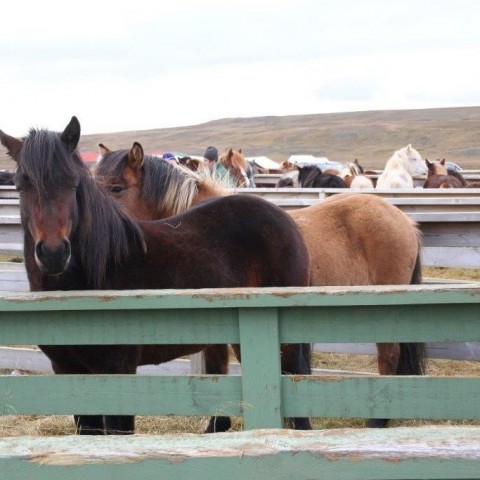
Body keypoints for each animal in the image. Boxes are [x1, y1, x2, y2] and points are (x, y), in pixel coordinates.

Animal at [0, 119, 314, 436]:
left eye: (74, 183)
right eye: (20, 185)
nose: (53, 253)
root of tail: (285, 218)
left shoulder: (118, 370)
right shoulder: (68, 371)